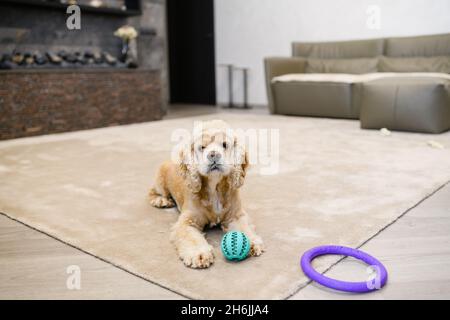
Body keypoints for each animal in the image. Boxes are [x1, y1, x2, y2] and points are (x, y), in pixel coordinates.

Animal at [149, 119, 264, 268]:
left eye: (224, 145)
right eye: (202, 147)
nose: (213, 155)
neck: (214, 187)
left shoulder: (236, 215)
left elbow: (244, 227)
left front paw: (253, 243)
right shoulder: (187, 221)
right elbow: (191, 237)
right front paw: (198, 254)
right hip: (160, 182)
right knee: (152, 192)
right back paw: (161, 201)